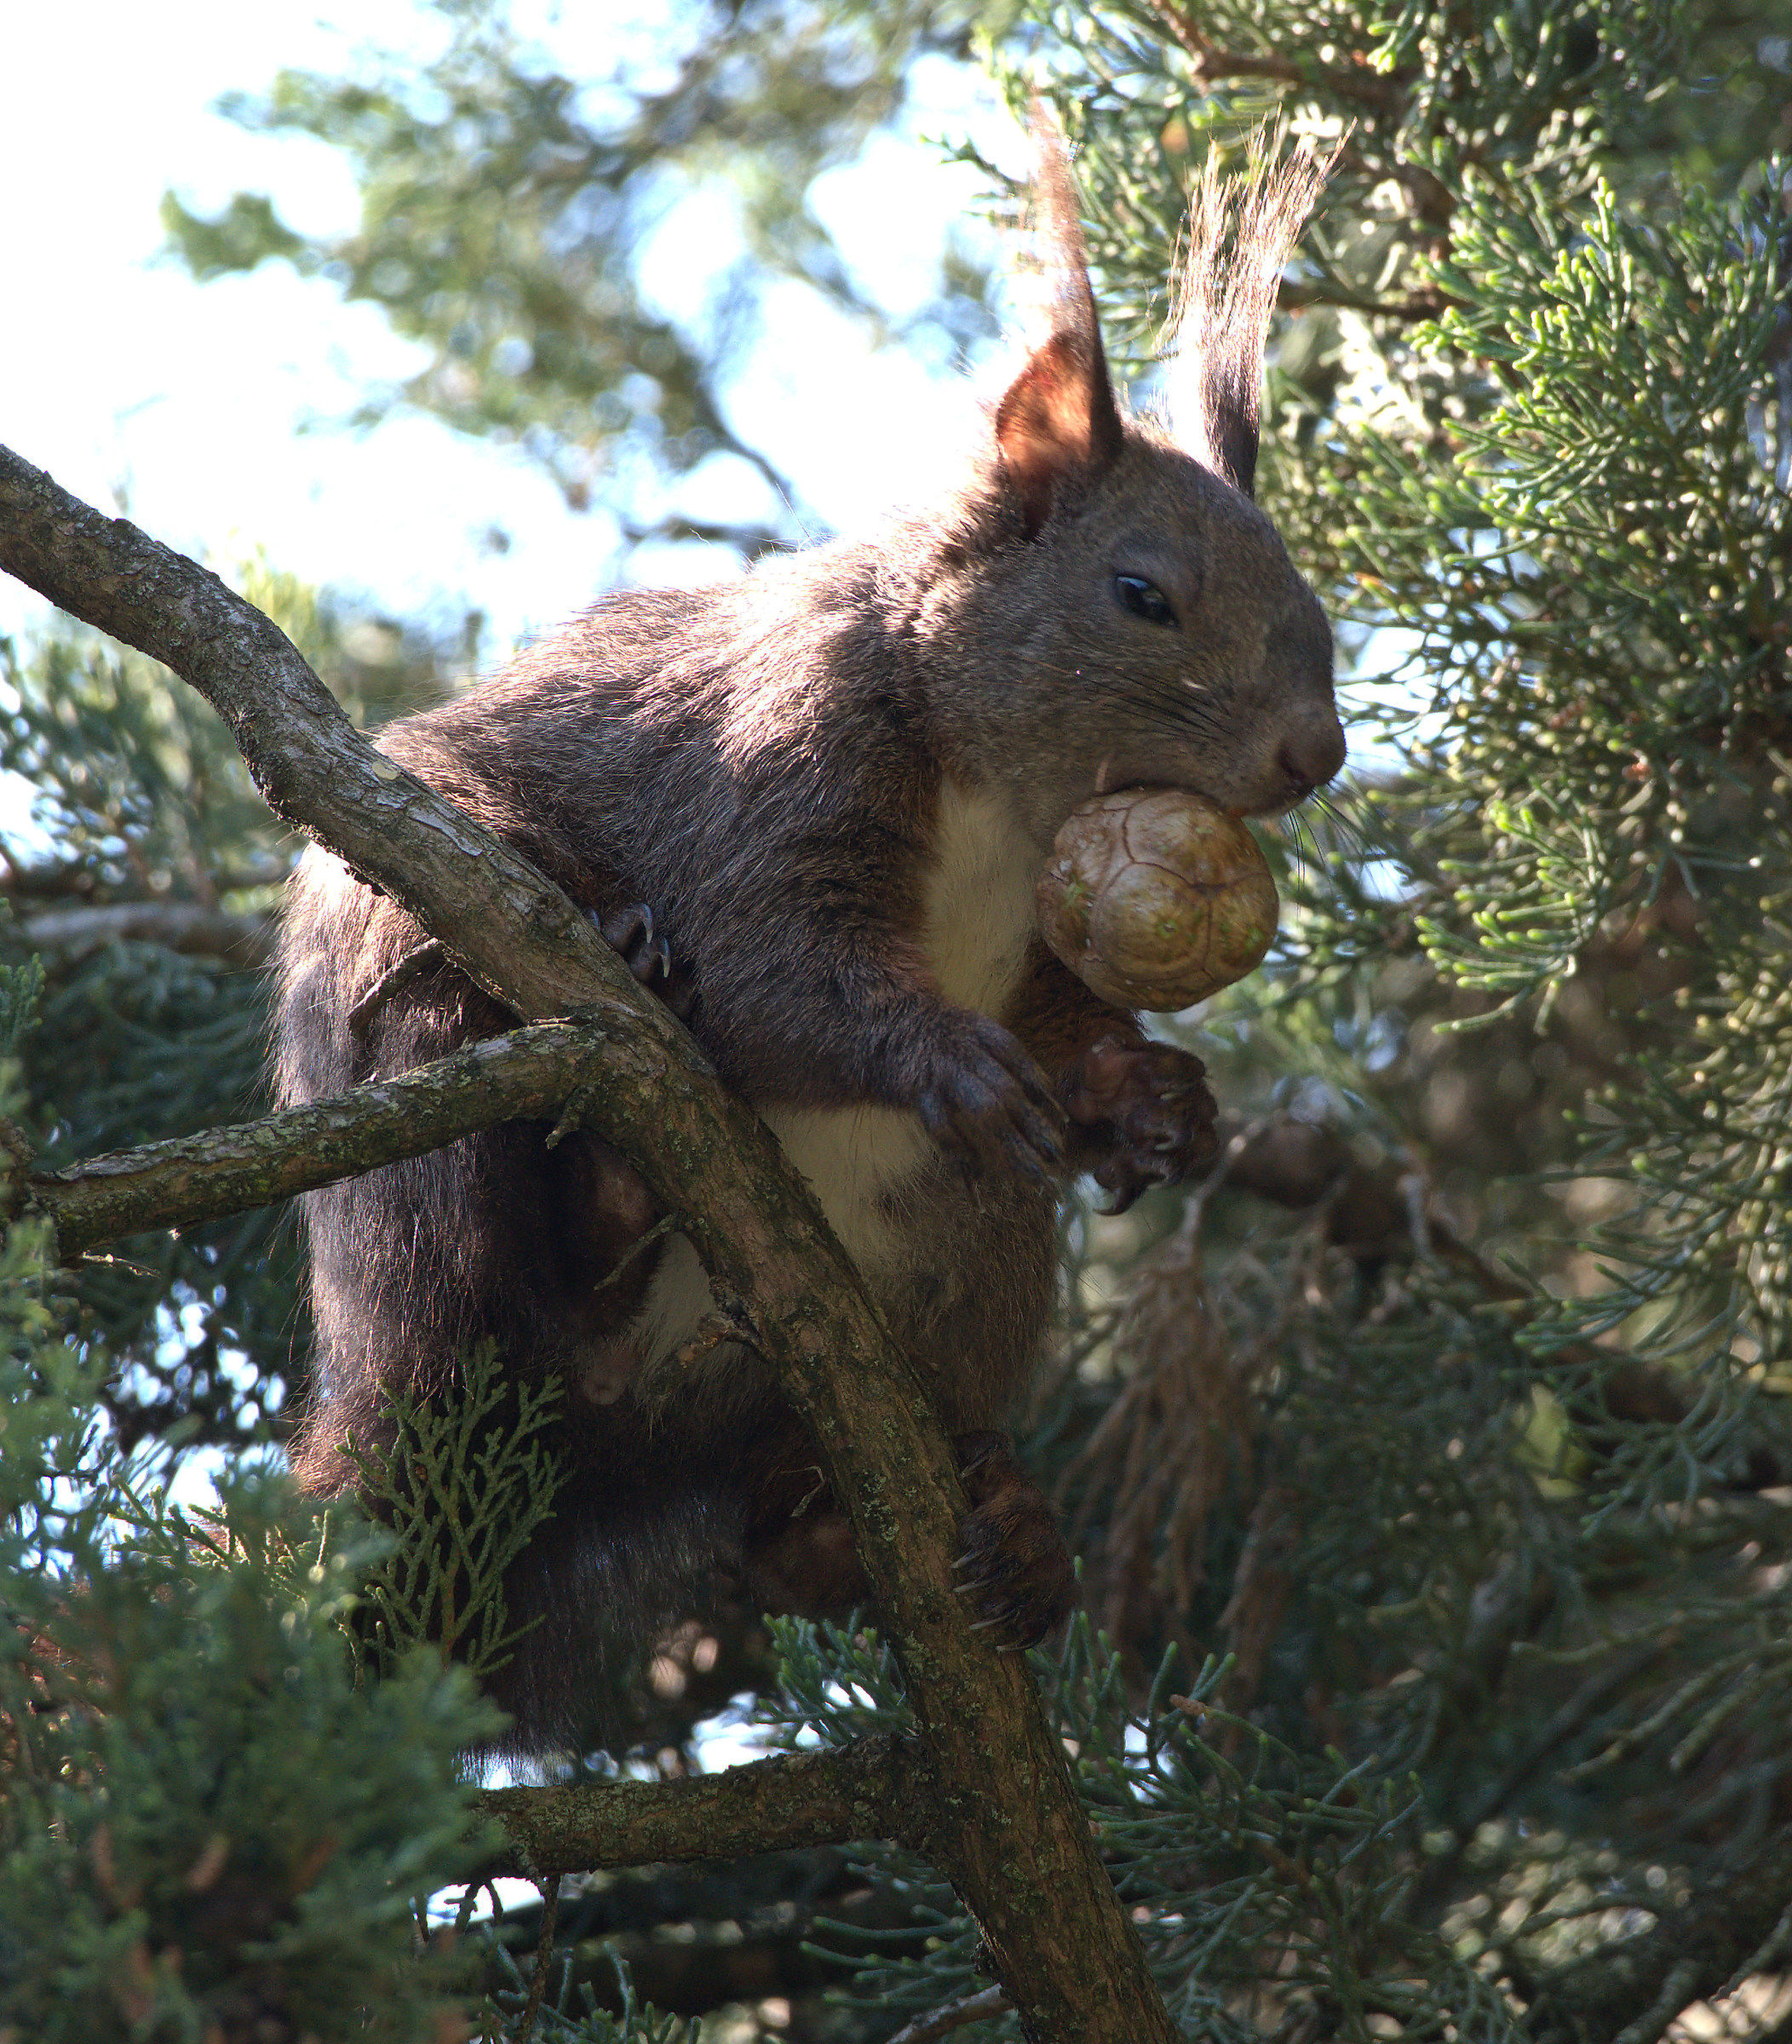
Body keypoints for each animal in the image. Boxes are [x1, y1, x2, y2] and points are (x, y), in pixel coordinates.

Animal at [272, 130, 1344, 1756]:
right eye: (1141, 593)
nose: (1315, 754)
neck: (1003, 805)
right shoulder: (774, 768)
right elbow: (774, 969)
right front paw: (944, 1059)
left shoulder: (1029, 945)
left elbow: (1059, 1025)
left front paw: (1151, 1095)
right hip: (423, 1070)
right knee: (502, 1239)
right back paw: (600, 1197)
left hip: (957, 1266)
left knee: (776, 1537)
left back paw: (955, 1530)